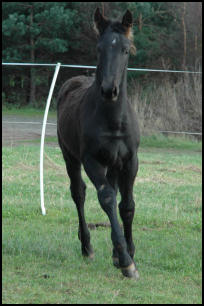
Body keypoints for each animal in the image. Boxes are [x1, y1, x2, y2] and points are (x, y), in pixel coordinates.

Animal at [57, 7, 140, 280]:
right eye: (99, 48)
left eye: (125, 49)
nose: (109, 90)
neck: (113, 120)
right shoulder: (91, 160)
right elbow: (106, 199)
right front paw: (126, 262)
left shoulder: (130, 160)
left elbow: (127, 205)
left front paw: (128, 252)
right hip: (70, 156)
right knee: (78, 193)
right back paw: (87, 247)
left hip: (112, 164)